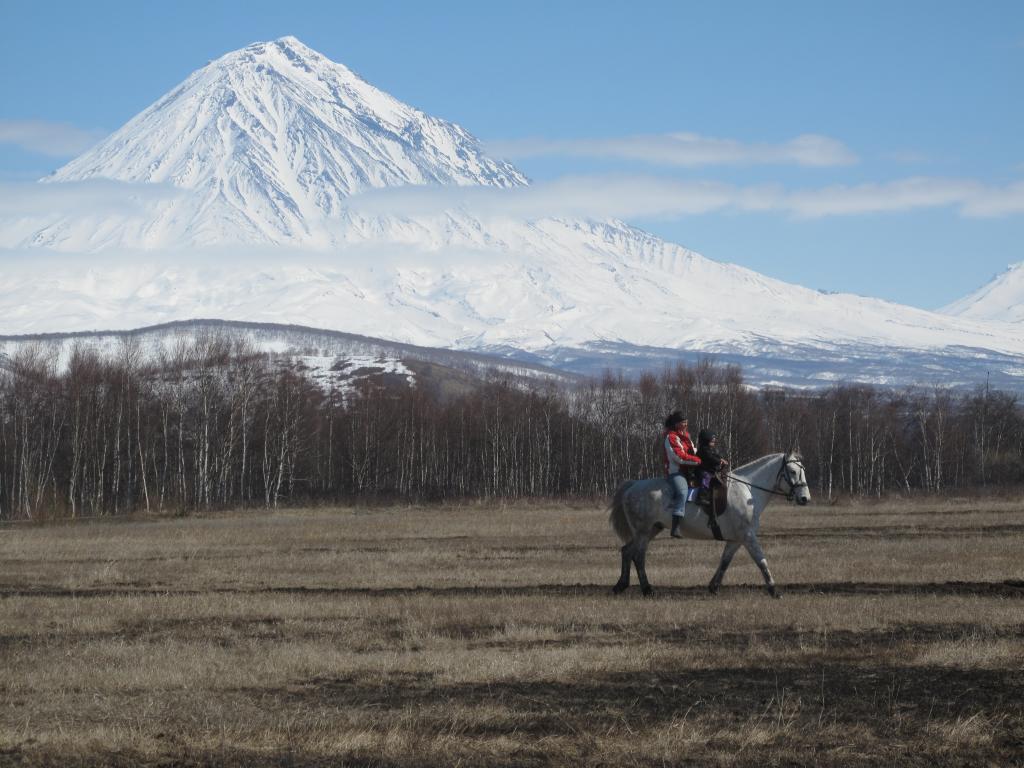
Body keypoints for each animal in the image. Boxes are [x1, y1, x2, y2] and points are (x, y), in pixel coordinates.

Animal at [606, 454, 806, 598]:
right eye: (792, 471)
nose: (805, 498)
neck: (748, 490)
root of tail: (633, 486)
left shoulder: (736, 539)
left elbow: (725, 561)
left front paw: (714, 587)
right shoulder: (748, 535)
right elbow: (761, 560)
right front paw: (774, 590)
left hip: (651, 530)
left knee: (627, 551)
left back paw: (620, 586)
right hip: (643, 531)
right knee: (638, 557)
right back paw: (647, 589)